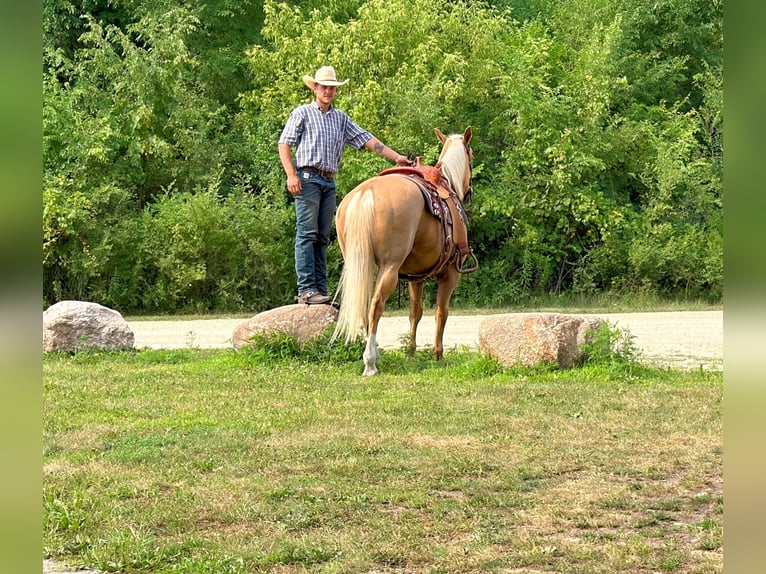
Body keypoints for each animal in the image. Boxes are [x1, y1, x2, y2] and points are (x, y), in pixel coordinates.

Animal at [331, 126, 474, 375]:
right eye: (472, 156)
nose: (469, 193)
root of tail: (367, 191)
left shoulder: (416, 277)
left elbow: (415, 313)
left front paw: (411, 351)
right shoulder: (450, 274)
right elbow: (441, 312)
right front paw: (438, 355)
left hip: (361, 266)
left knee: (365, 307)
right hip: (389, 267)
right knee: (376, 305)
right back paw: (370, 362)